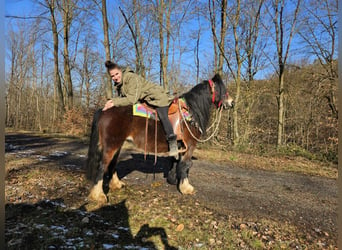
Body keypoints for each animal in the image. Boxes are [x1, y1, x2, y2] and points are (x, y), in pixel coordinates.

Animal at [87, 73, 234, 204]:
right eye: (222, 89)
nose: (231, 103)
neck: (191, 113)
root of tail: (104, 110)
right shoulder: (190, 146)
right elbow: (186, 165)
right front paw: (186, 188)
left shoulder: (180, 146)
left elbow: (176, 163)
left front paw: (174, 180)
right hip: (111, 145)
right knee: (102, 166)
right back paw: (99, 195)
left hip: (118, 144)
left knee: (112, 164)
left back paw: (116, 184)